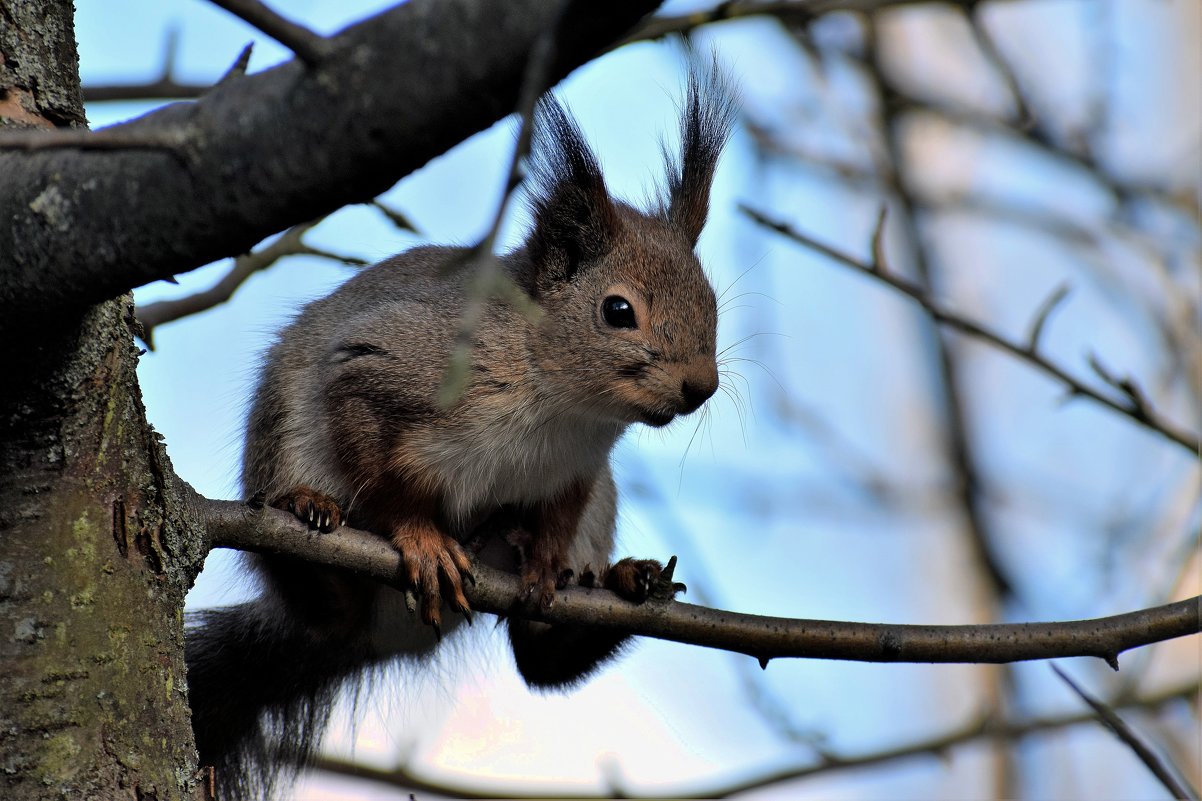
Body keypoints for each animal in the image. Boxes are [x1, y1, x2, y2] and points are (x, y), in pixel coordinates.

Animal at [185, 70, 730, 798]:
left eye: (712, 302)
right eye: (618, 311)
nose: (701, 386)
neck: (564, 406)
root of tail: (385, 639)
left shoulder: (580, 472)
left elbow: (557, 520)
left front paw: (546, 561)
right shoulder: (386, 370)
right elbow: (384, 473)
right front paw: (422, 539)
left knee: (540, 662)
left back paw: (624, 582)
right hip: (285, 451)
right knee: (326, 608)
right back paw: (308, 514)